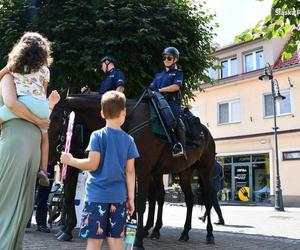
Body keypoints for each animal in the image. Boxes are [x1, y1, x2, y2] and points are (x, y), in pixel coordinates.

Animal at [48, 93, 216, 248]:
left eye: (57, 118)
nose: (52, 156)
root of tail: (206, 133)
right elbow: (70, 194)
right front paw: (67, 229)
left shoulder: (142, 169)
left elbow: (140, 202)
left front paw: (138, 241)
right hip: (183, 173)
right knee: (187, 200)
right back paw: (182, 232)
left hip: (206, 171)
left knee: (208, 201)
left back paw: (209, 234)